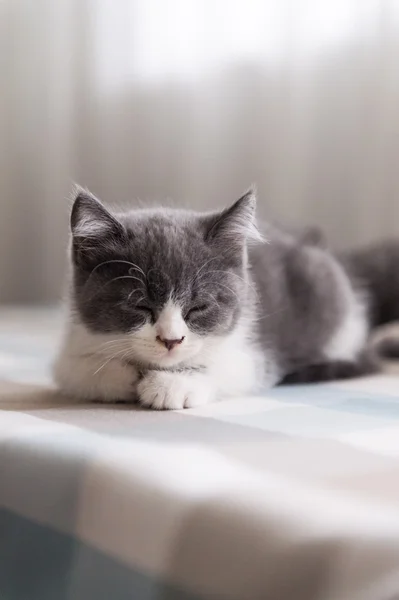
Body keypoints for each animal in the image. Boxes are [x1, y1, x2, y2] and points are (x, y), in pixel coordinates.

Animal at [53, 188, 396, 410]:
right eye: (140, 305)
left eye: (199, 307)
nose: (171, 340)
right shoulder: (72, 341)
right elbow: (76, 371)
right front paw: (122, 375)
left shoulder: (254, 353)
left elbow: (230, 368)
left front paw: (172, 385)